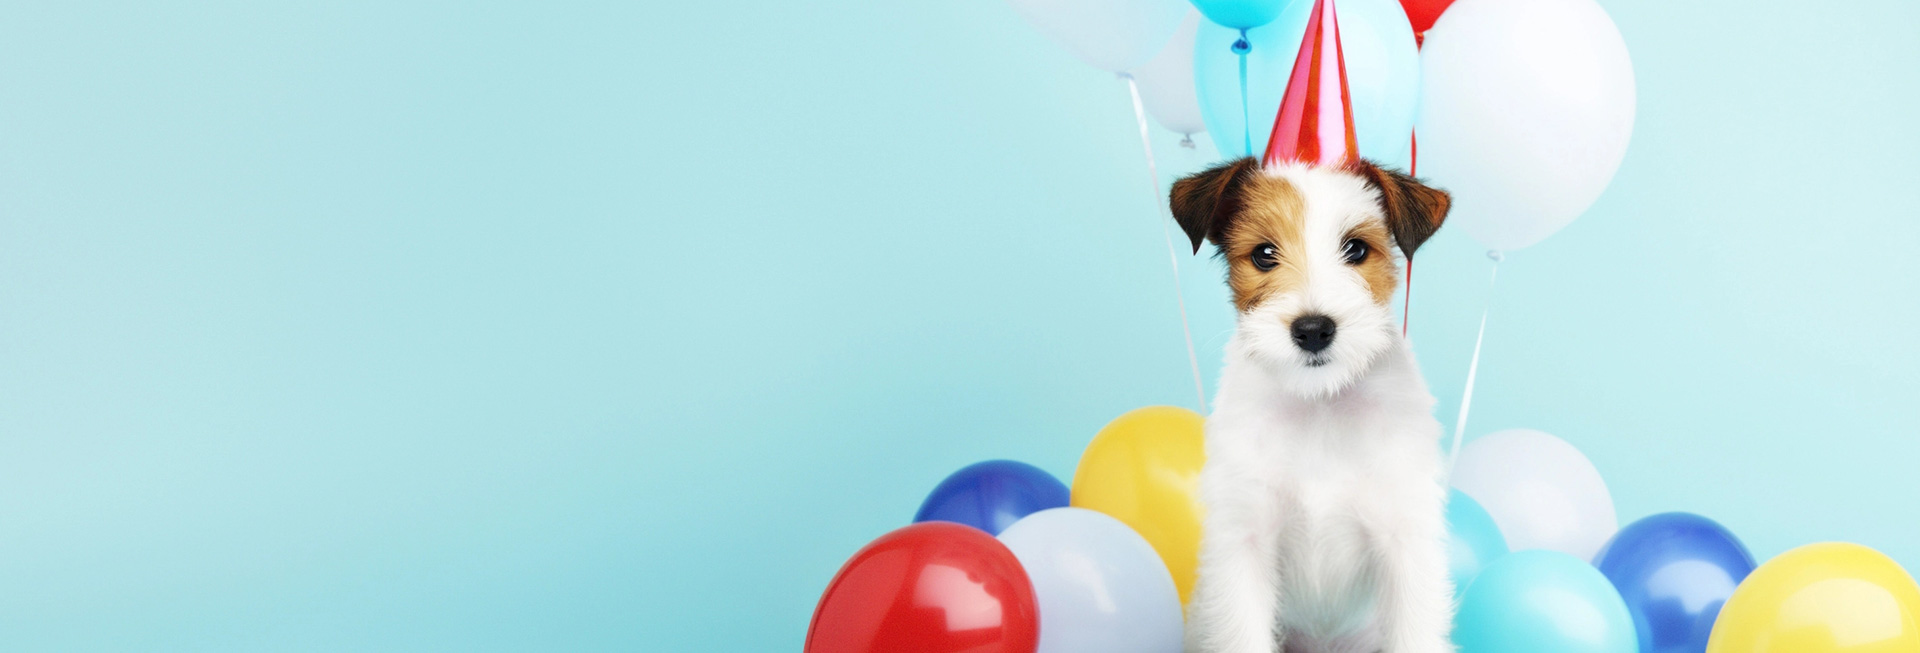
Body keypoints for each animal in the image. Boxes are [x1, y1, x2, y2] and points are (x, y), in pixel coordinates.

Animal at [1167, 156, 1451, 653]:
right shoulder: (1245, 540)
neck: (1320, 405)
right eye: (1264, 254)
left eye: (1356, 249)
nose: (1314, 329)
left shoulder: (1405, 537)